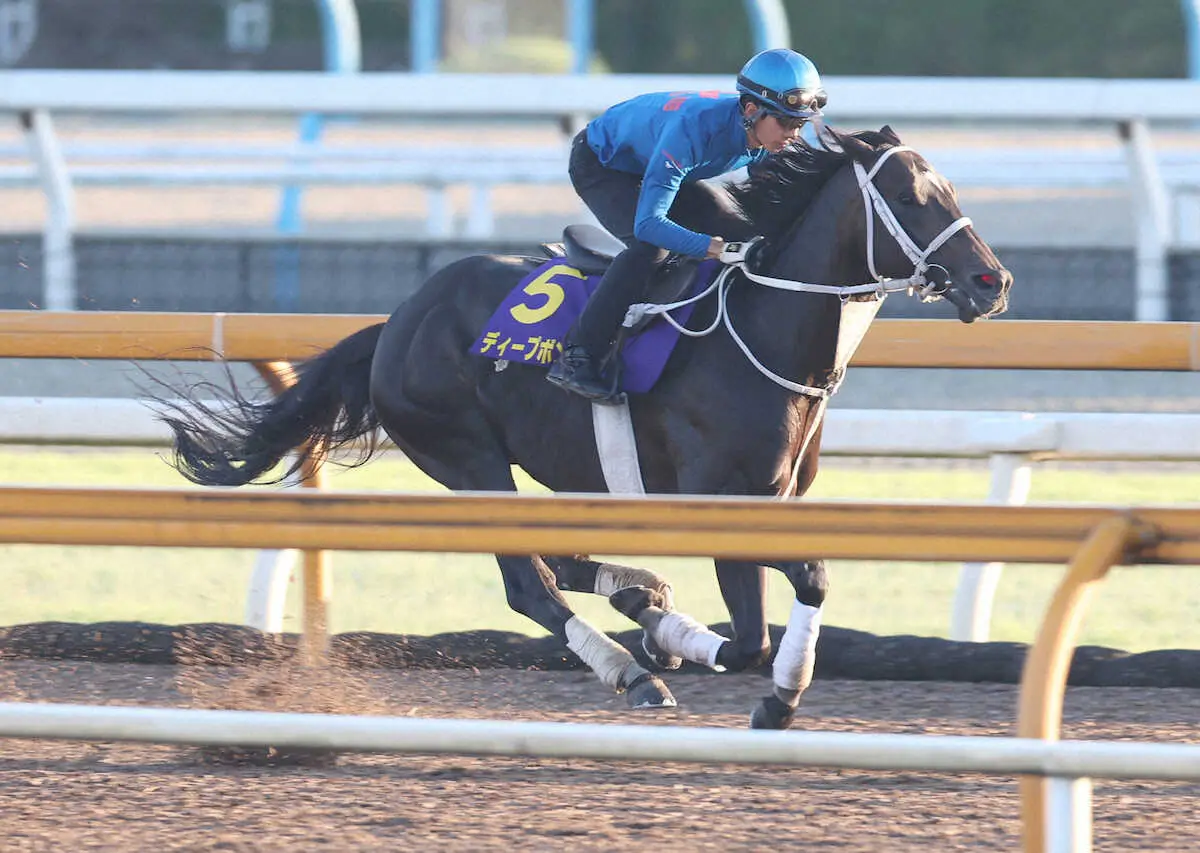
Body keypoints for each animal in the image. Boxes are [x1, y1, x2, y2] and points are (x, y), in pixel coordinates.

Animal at [154, 126, 1008, 729]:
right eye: (911, 195)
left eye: (946, 186)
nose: (991, 280)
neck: (763, 329)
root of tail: (396, 320)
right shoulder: (721, 500)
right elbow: (752, 634)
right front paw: (715, 667)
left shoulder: (782, 502)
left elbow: (807, 586)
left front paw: (738, 668)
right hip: (468, 460)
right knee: (528, 583)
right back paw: (633, 667)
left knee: (556, 559)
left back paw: (638, 596)